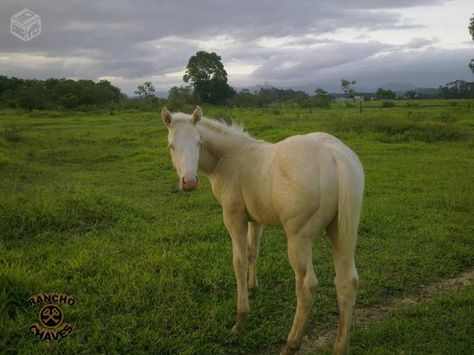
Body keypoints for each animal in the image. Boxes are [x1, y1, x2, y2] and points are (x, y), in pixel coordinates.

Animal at [161, 106, 364, 355]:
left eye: (199, 142)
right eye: (172, 145)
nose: (189, 182)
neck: (228, 158)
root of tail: (335, 156)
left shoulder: (234, 217)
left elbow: (238, 261)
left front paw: (241, 318)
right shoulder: (255, 219)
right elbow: (252, 251)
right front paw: (252, 288)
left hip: (299, 238)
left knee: (307, 285)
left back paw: (291, 343)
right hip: (342, 232)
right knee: (347, 282)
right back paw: (339, 347)